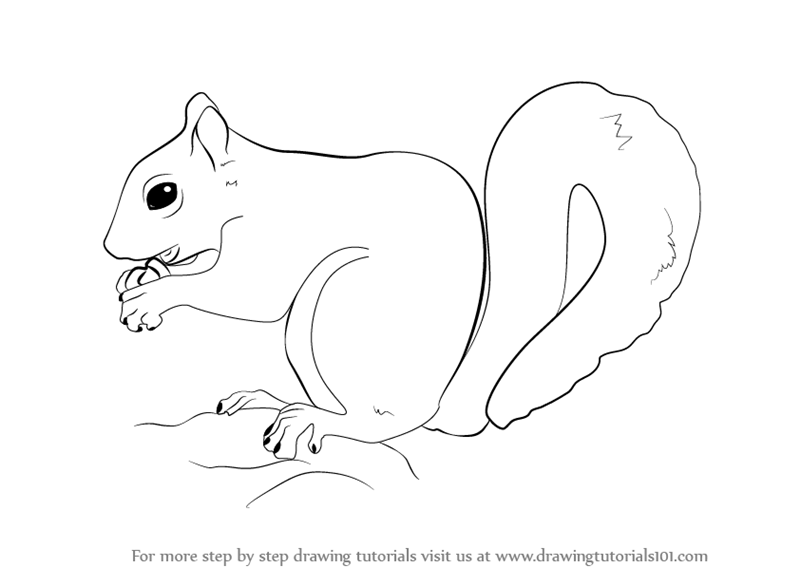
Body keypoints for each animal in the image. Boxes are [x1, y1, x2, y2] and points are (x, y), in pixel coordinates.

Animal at [104, 82, 700, 458]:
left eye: (162, 195)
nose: (110, 248)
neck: (252, 189)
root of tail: (440, 403)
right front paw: (143, 276)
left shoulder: (277, 238)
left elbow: (246, 292)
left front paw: (150, 298)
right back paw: (269, 401)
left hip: (343, 302)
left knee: (377, 423)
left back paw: (310, 421)